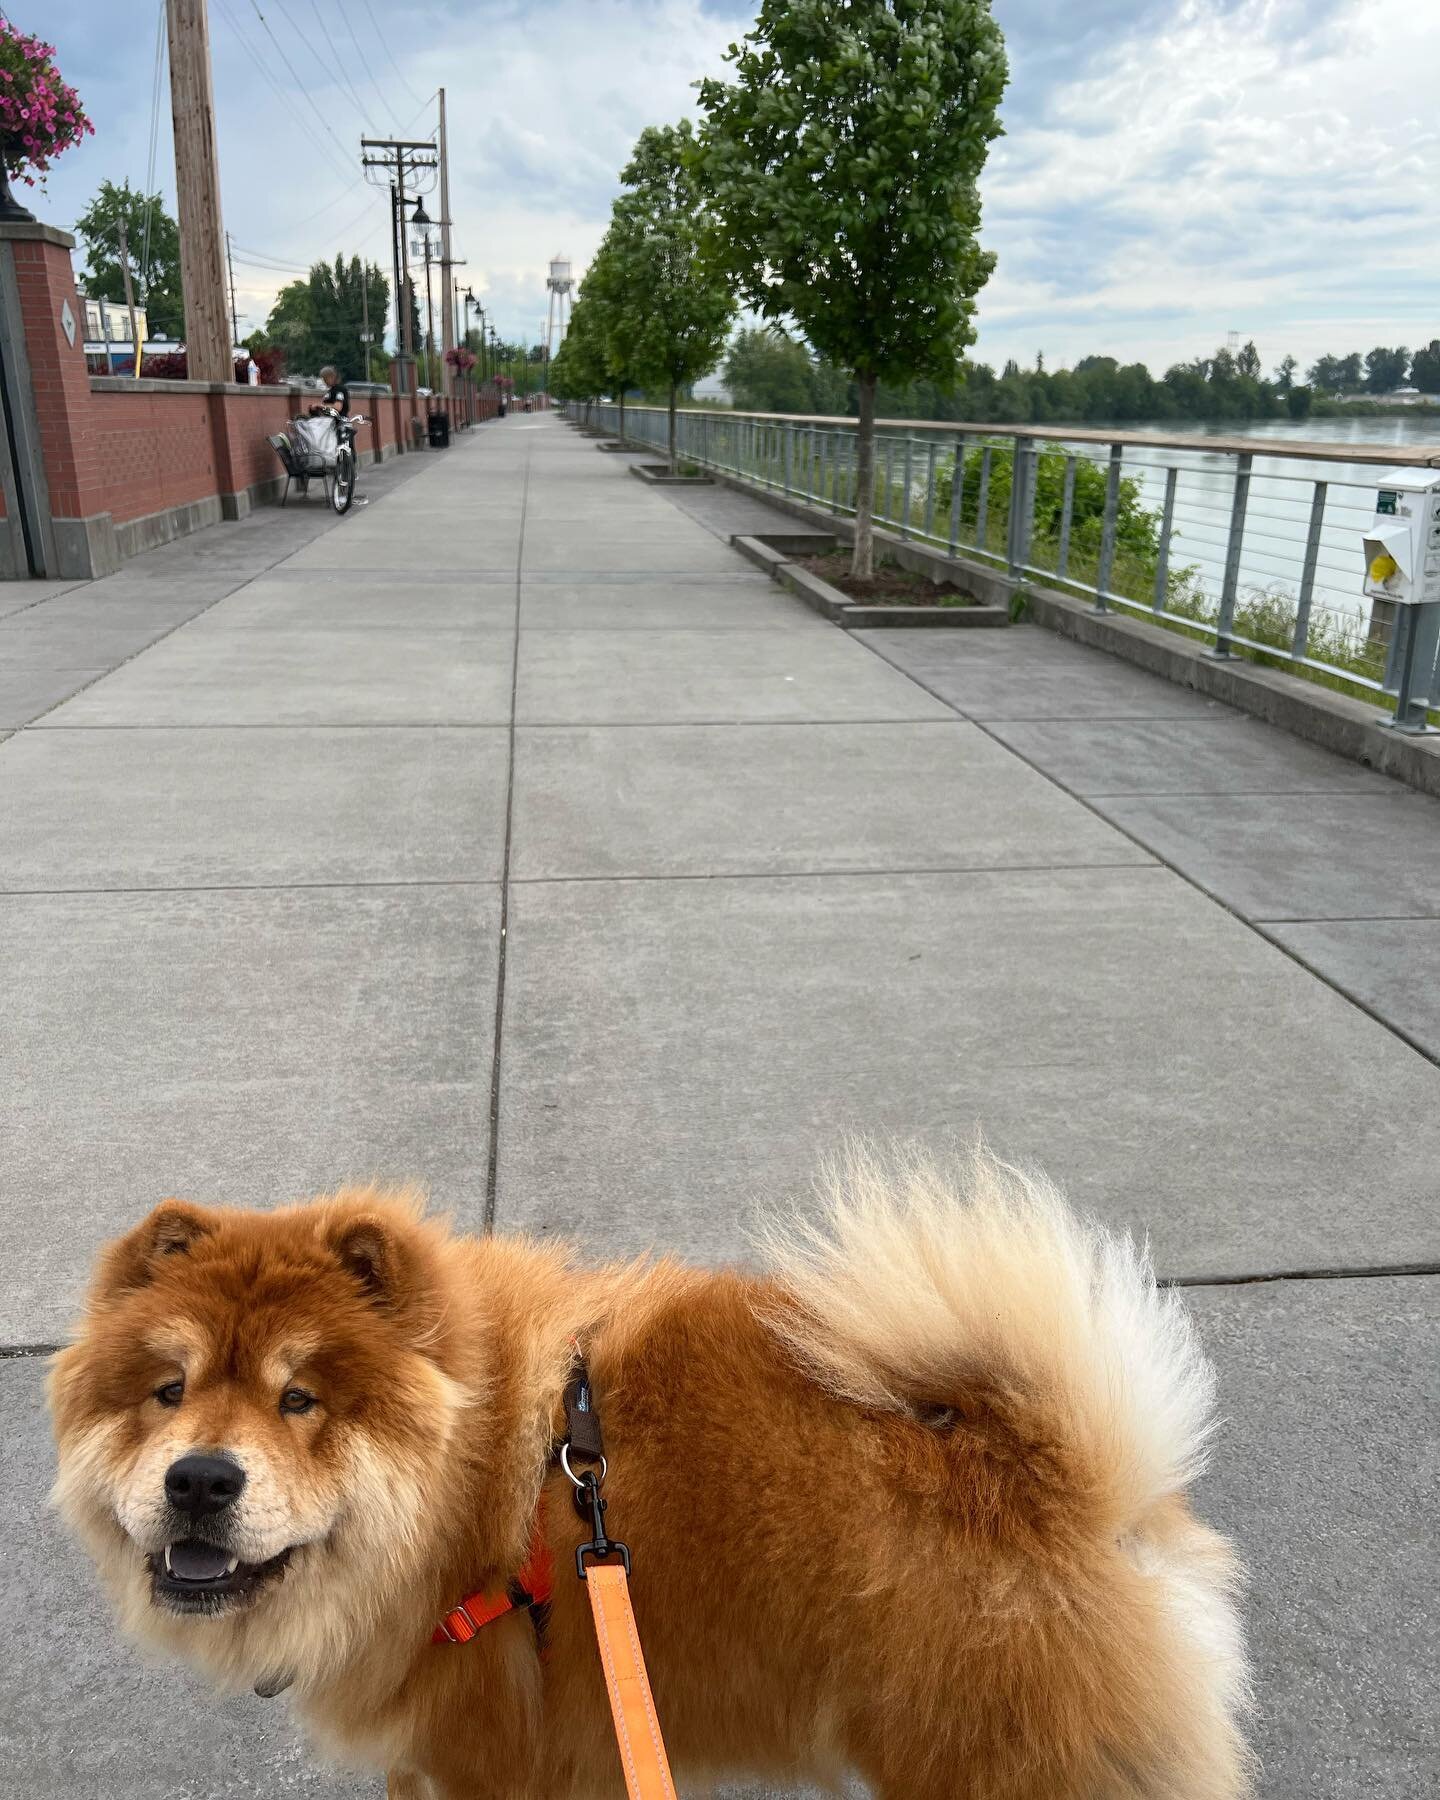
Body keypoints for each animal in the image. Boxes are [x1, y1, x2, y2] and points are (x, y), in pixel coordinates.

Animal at [47, 1144, 1245, 1792]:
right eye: (168, 1390)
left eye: (301, 1400)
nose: (201, 1479)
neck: (470, 1494)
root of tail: (1076, 1482)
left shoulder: (490, 1765)